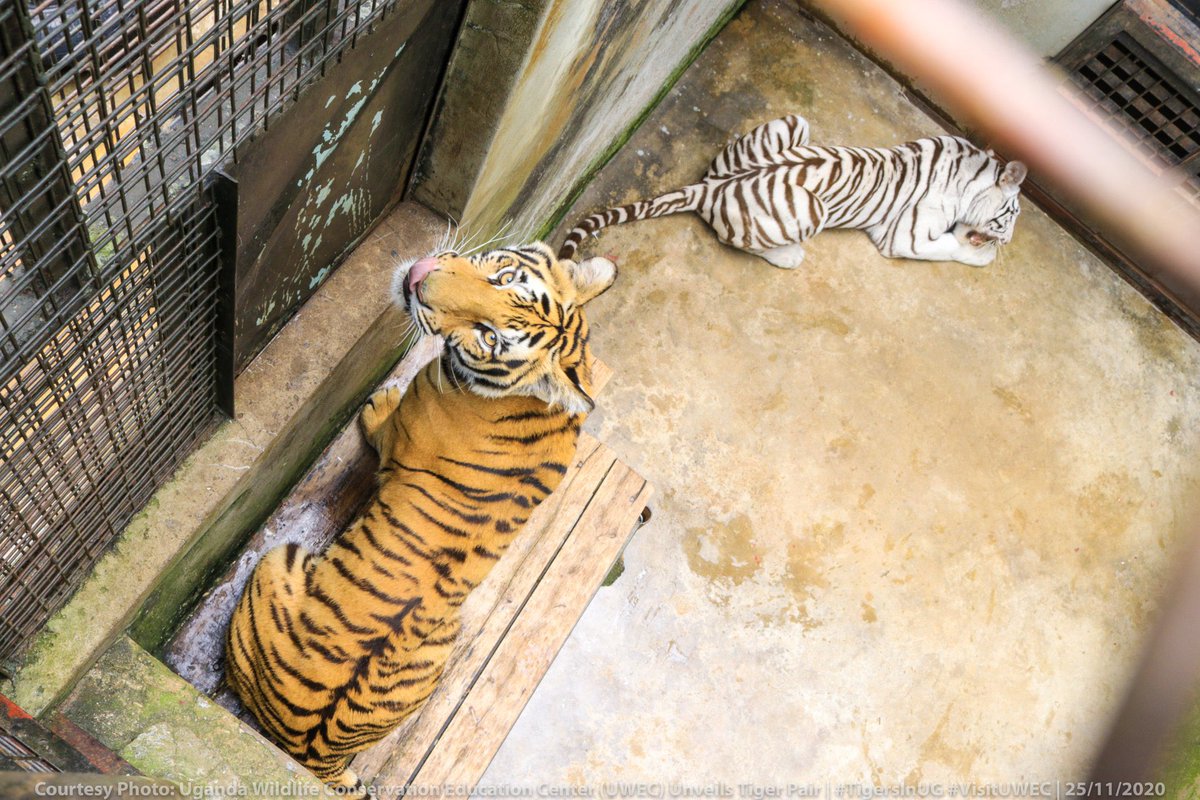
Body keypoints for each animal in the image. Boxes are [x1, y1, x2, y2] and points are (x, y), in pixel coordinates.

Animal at [224, 242, 617, 791]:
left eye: (488, 336)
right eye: (504, 278)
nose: (420, 280)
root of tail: (317, 758)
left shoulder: (398, 439)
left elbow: (380, 426)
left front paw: (379, 402)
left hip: (275, 562)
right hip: (441, 645)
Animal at [559, 114, 1027, 269]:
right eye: (1013, 216)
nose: (1008, 242)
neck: (969, 172)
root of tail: (708, 188)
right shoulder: (904, 237)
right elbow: (948, 248)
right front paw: (985, 256)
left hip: (794, 122)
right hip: (813, 211)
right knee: (739, 242)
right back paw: (789, 256)